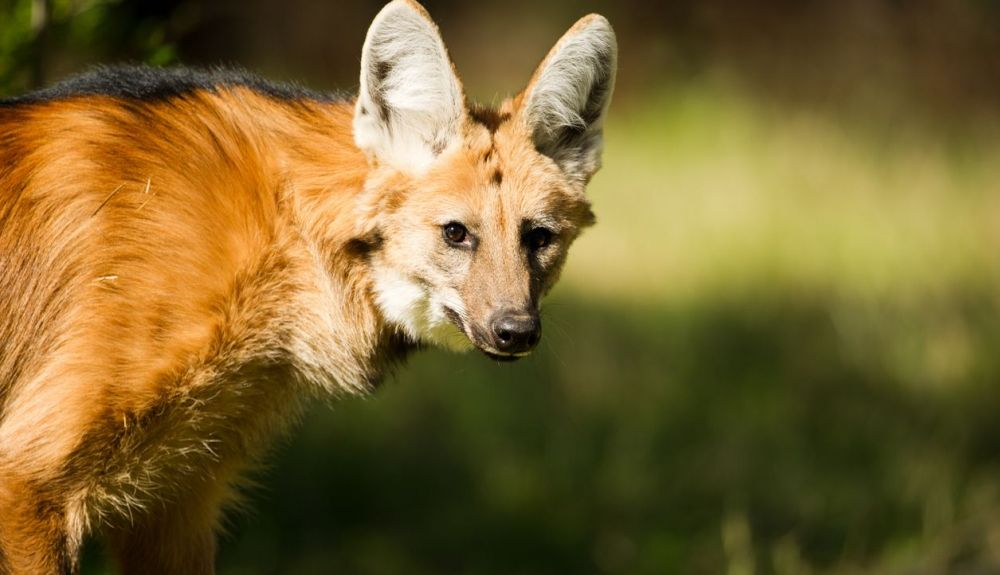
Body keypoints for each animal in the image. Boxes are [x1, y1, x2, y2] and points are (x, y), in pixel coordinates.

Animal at [0, 2, 616, 572]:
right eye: (456, 233)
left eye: (538, 238)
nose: (516, 331)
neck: (286, 235)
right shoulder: (28, 477)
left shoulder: (175, 500)